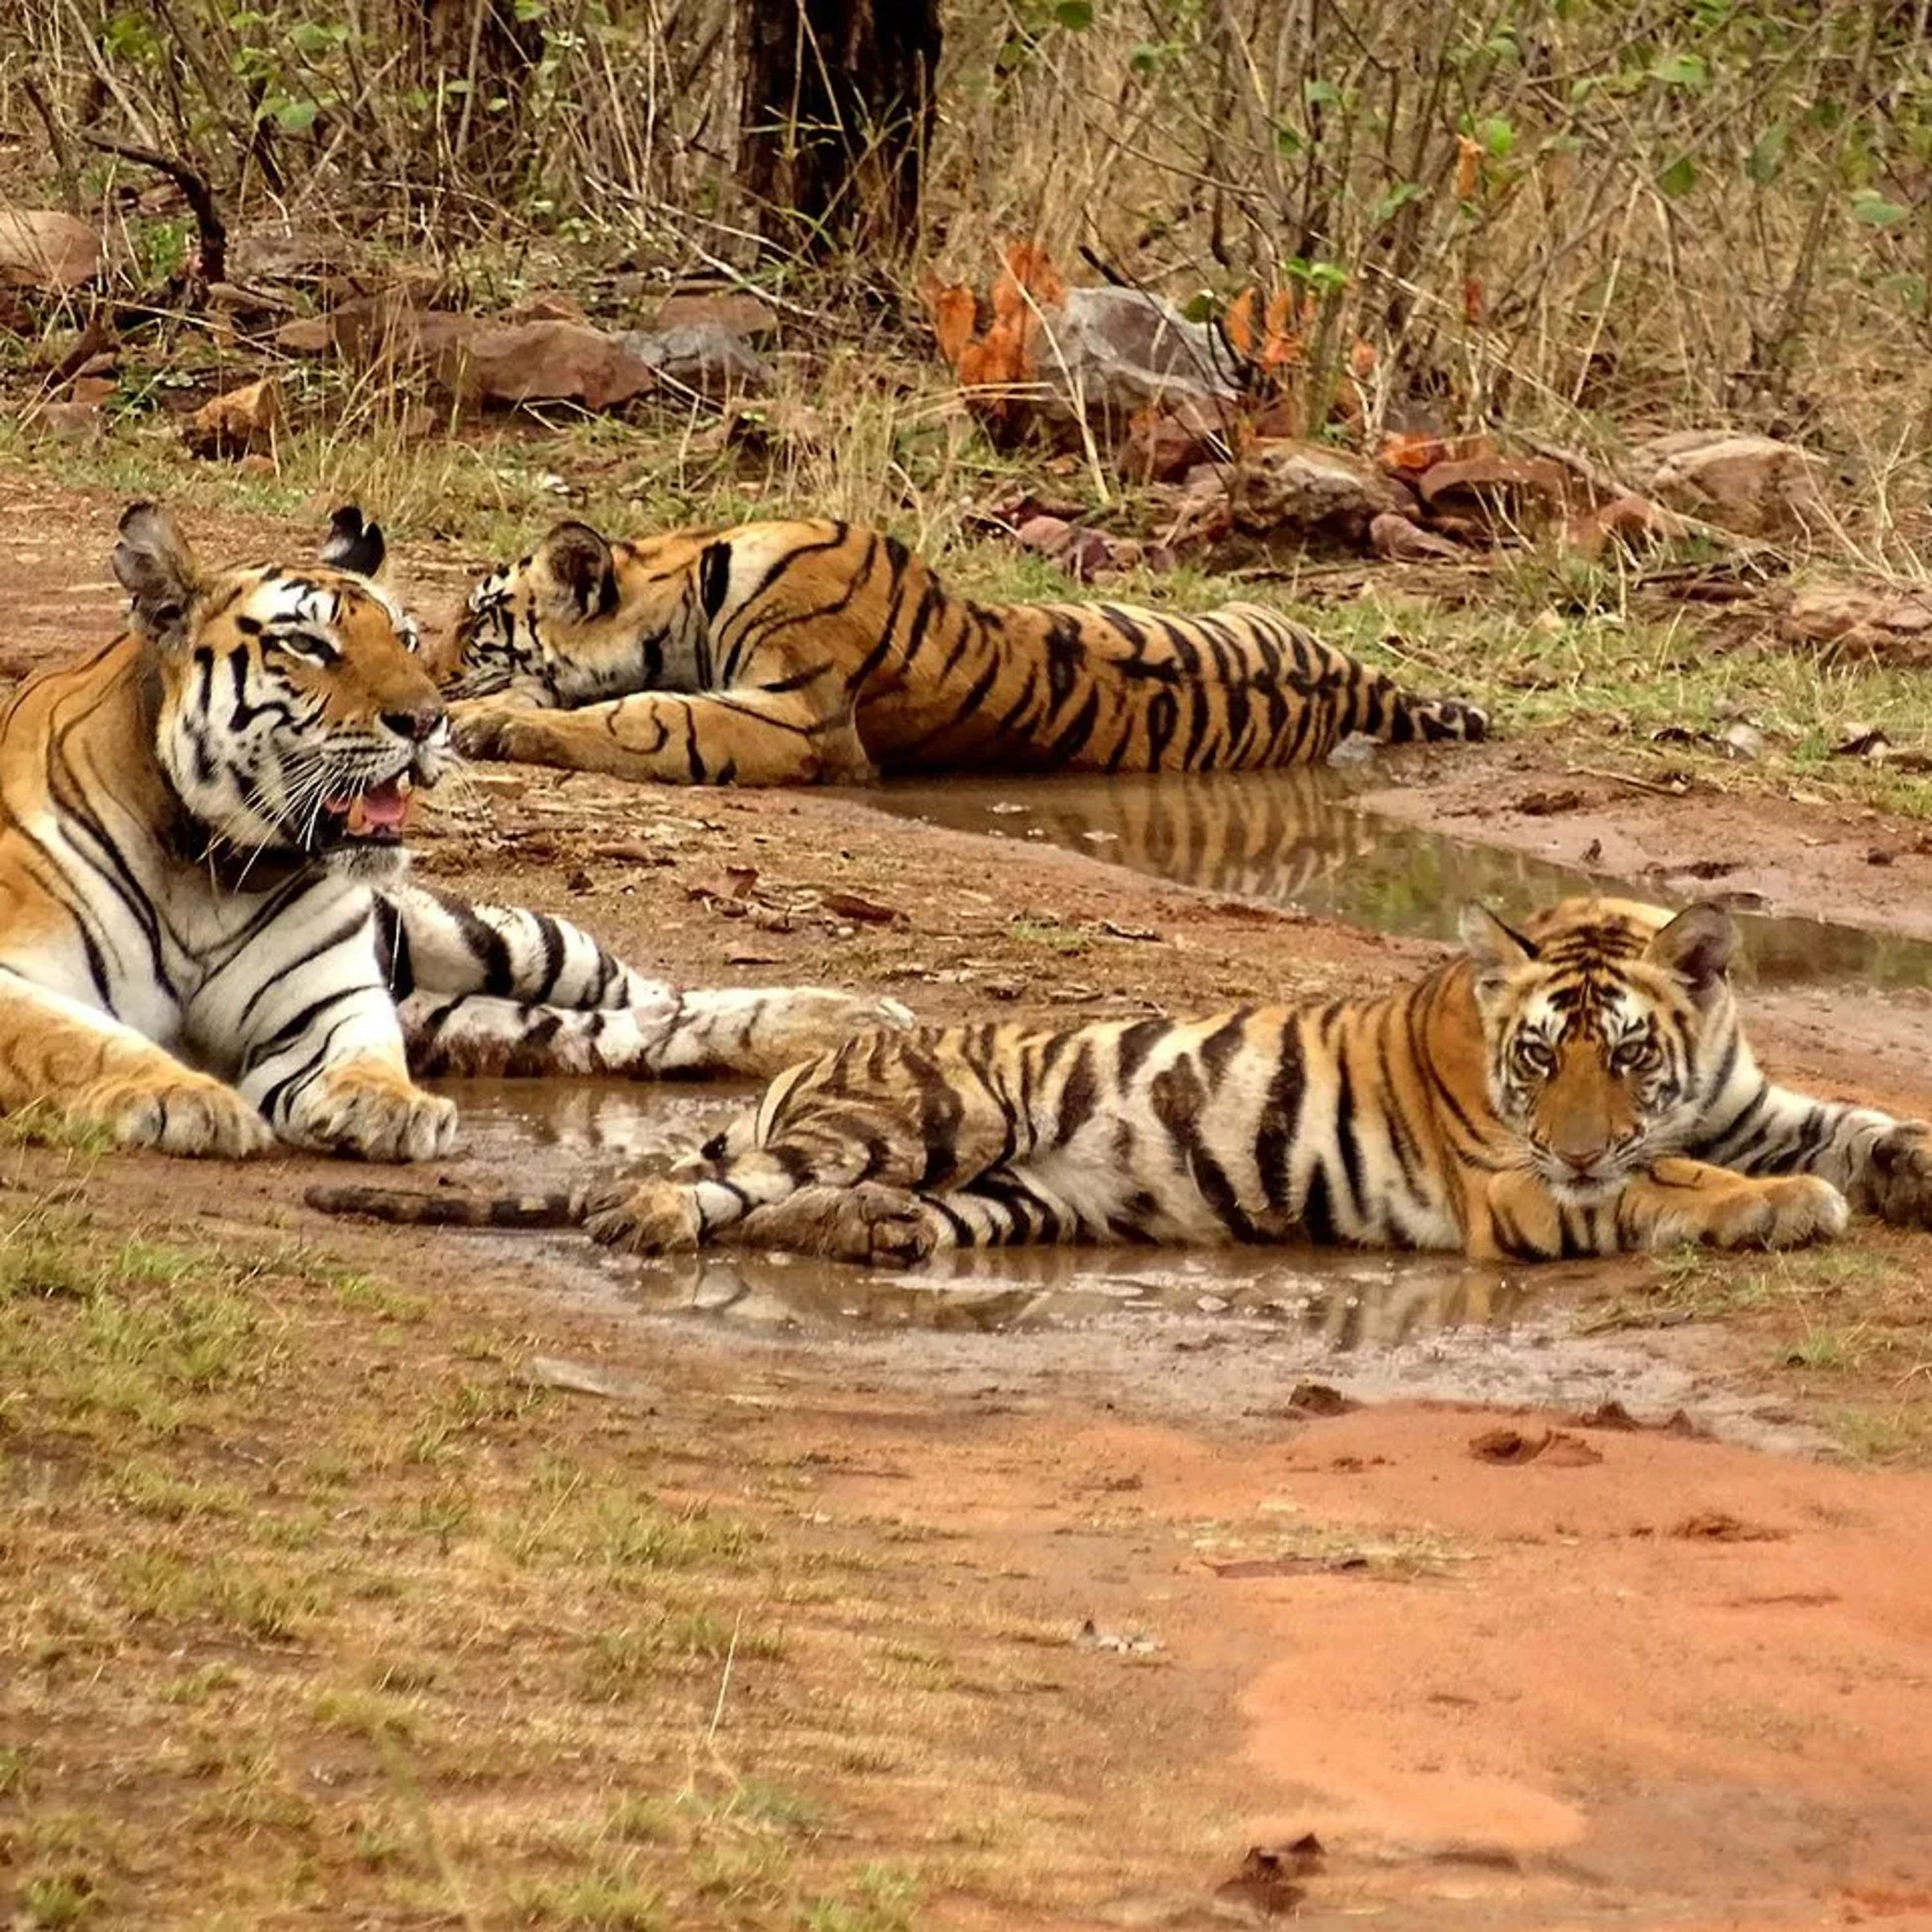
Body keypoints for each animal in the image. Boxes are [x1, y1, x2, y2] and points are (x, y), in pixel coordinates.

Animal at [0, 503, 908, 1161]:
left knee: (651, 1001)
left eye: (401, 637)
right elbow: (85, 1042)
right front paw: (184, 1098)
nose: (429, 720)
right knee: (609, 1031)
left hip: (496, 937)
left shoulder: (329, 1001)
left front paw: (384, 1106)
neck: (213, 867)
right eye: (308, 644)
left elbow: (359, 1051)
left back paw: (857, 1020)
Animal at [440, 517, 1488, 786]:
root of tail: (1346, 677)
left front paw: (486, 721)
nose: (427, 655)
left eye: (480, 615)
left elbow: (646, 715)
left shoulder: (805, 719)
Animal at [572, 895, 1932, 1262]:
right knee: (718, 1185)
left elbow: (1855, 1122)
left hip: (1017, 1198)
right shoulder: (1518, 1186)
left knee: (797, 1211)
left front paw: (1892, 1166)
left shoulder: (1749, 1104)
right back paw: (649, 1217)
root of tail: (812, 1061)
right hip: (937, 1115)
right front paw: (1787, 1207)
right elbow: (1674, 1181)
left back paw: (871, 1232)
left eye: (1635, 1055)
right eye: (1541, 1059)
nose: (1582, 1145)